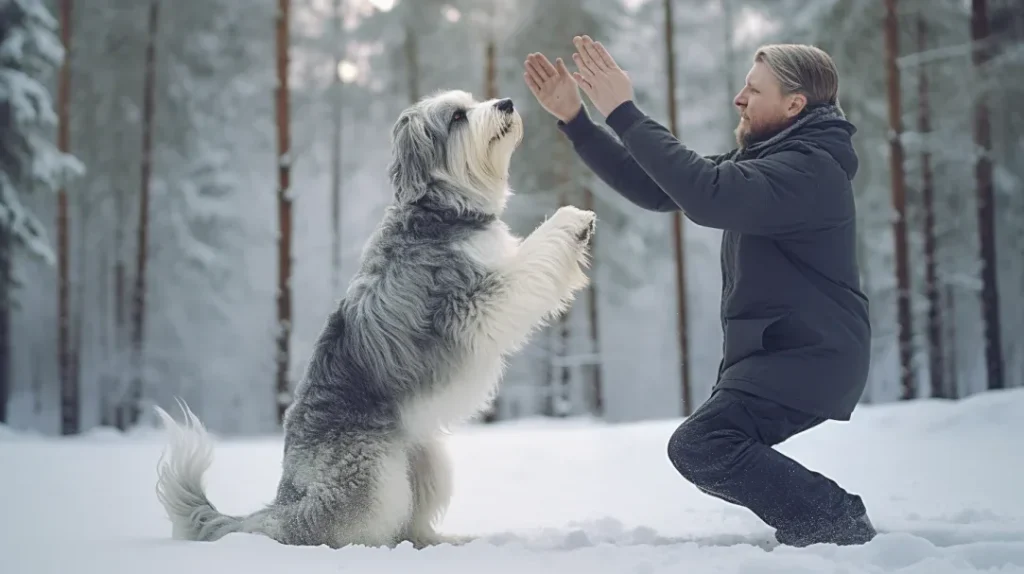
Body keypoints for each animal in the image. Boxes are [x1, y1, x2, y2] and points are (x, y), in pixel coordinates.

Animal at [153, 88, 598, 544]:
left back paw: (445, 541)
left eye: (473, 102)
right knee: (333, 529)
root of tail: (283, 501)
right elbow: (532, 258)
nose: (506, 102)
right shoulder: (474, 302)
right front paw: (572, 219)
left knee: (411, 525)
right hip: (372, 476)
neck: (441, 210)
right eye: (457, 116)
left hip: (424, 457)